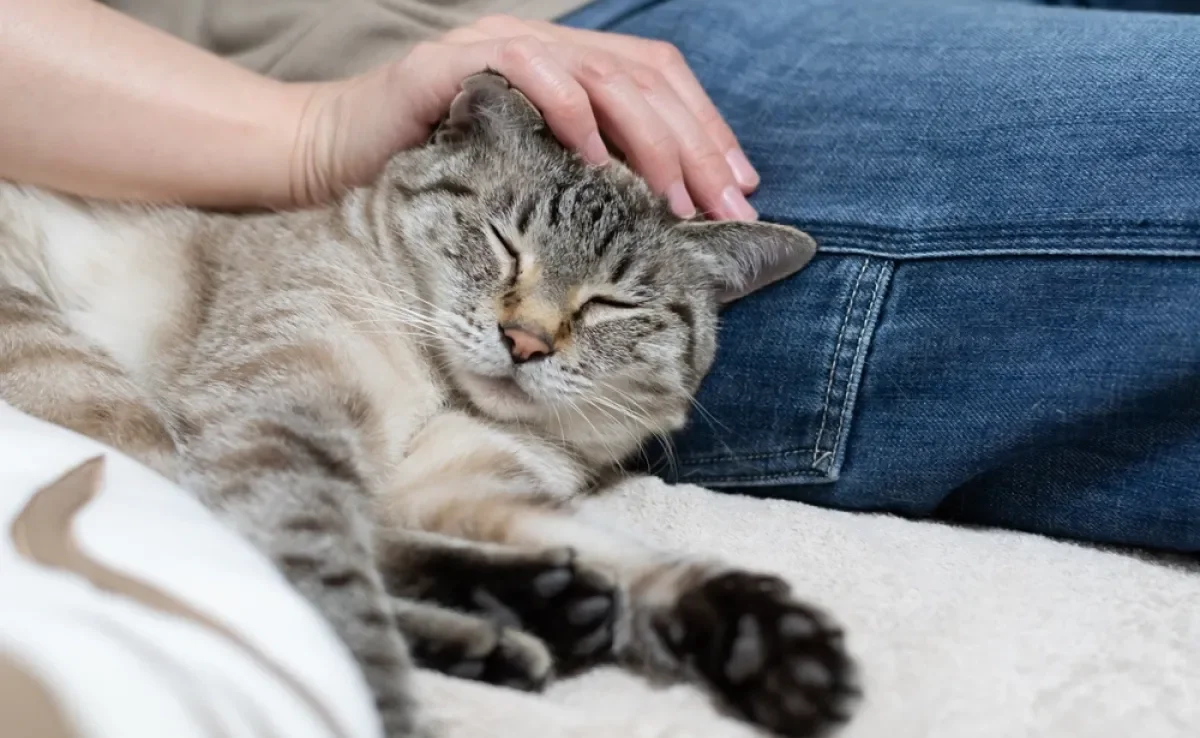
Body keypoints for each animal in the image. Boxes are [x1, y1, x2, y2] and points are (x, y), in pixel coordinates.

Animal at [0, 70, 864, 738]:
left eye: (609, 305)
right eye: (505, 243)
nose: (525, 342)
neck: (438, 392)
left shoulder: (472, 485)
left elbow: (634, 558)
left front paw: (770, 646)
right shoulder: (276, 432)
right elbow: (337, 607)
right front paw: (389, 709)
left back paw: (545, 611)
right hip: (98, 400)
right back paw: (532, 625)